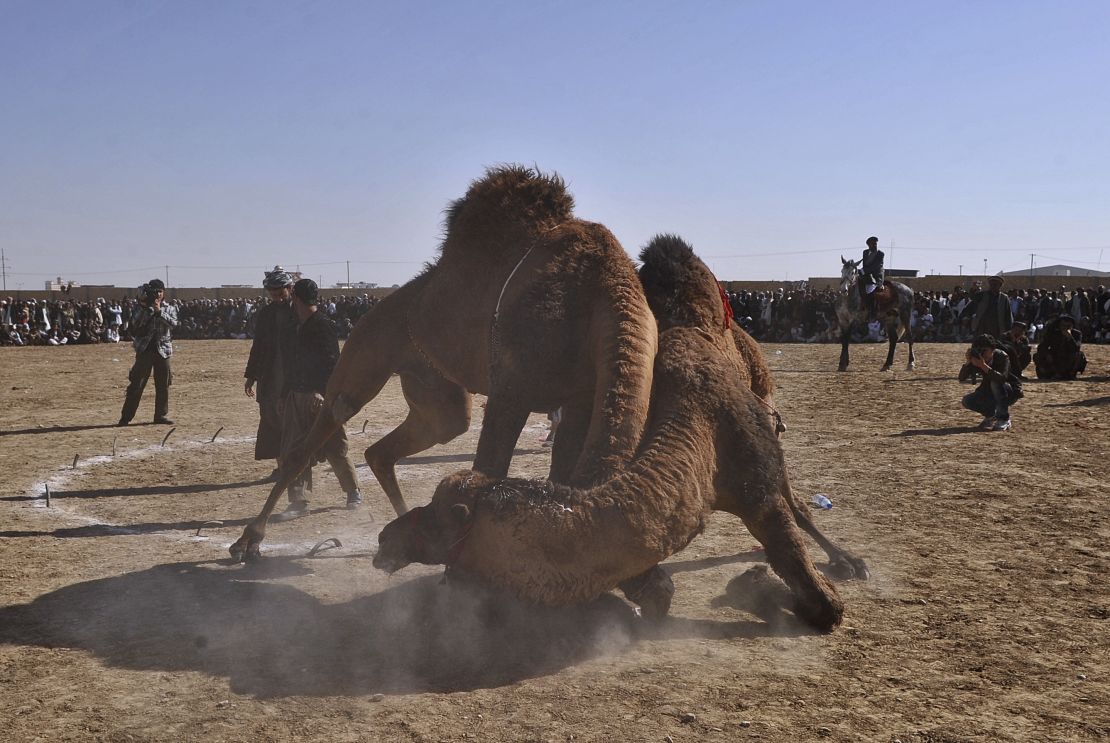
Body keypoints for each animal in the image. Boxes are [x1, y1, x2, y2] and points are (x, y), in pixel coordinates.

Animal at [227, 166, 657, 561]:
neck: (596, 292)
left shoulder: (580, 395)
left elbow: (561, 472)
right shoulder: (512, 386)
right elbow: (490, 467)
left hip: (433, 385)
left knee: (402, 442)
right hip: (366, 350)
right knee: (324, 426)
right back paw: (248, 541)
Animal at [377, 234, 870, 630]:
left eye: (447, 516)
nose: (384, 539)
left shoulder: (757, 479)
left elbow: (824, 604)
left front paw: (764, 579)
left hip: (766, 402)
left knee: (794, 496)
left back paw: (848, 560)